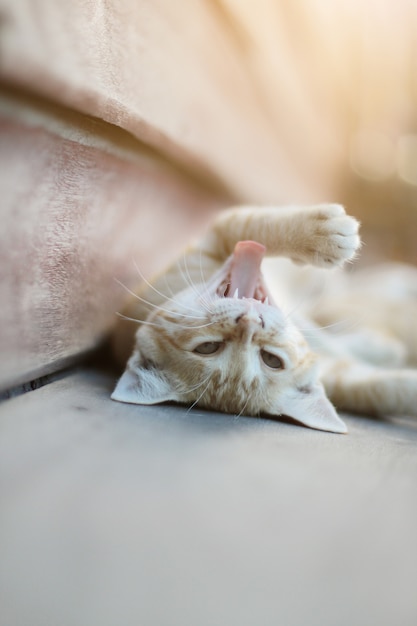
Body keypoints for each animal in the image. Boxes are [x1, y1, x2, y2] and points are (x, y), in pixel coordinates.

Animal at [110, 202, 416, 432]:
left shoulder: (220, 235)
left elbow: (255, 226)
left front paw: (317, 235)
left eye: (271, 359)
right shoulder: (336, 376)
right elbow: (376, 389)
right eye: (208, 347)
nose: (251, 324)